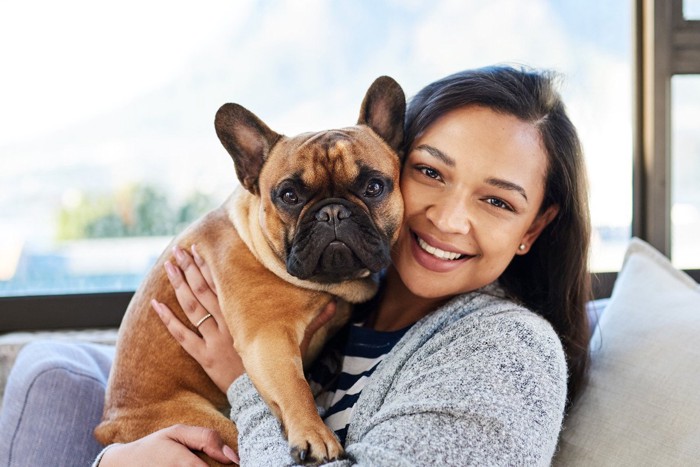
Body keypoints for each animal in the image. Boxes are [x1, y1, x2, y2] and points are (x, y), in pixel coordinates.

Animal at [95, 76, 408, 464]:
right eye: (288, 195)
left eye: (374, 187)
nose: (333, 212)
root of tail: (109, 430)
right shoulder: (268, 339)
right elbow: (295, 387)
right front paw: (314, 434)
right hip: (212, 428)